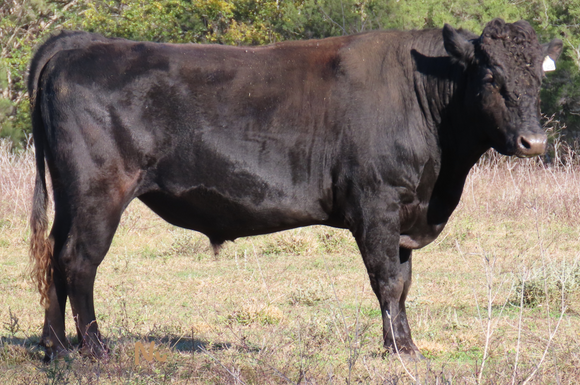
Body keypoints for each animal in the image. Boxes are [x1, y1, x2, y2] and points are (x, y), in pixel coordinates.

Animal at [28, 18, 560, 360]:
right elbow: (387, 281)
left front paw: (405, 344)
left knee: (53, 255)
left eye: (537, 75)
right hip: (99, 194)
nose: (533, 142)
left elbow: (404, 283)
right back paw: (96, 350)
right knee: (79, 261)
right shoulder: (378, 205)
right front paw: (399, 352)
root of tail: (81, 45)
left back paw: (55, 348)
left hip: (72, 198)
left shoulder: (407, 213)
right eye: (490, 76)